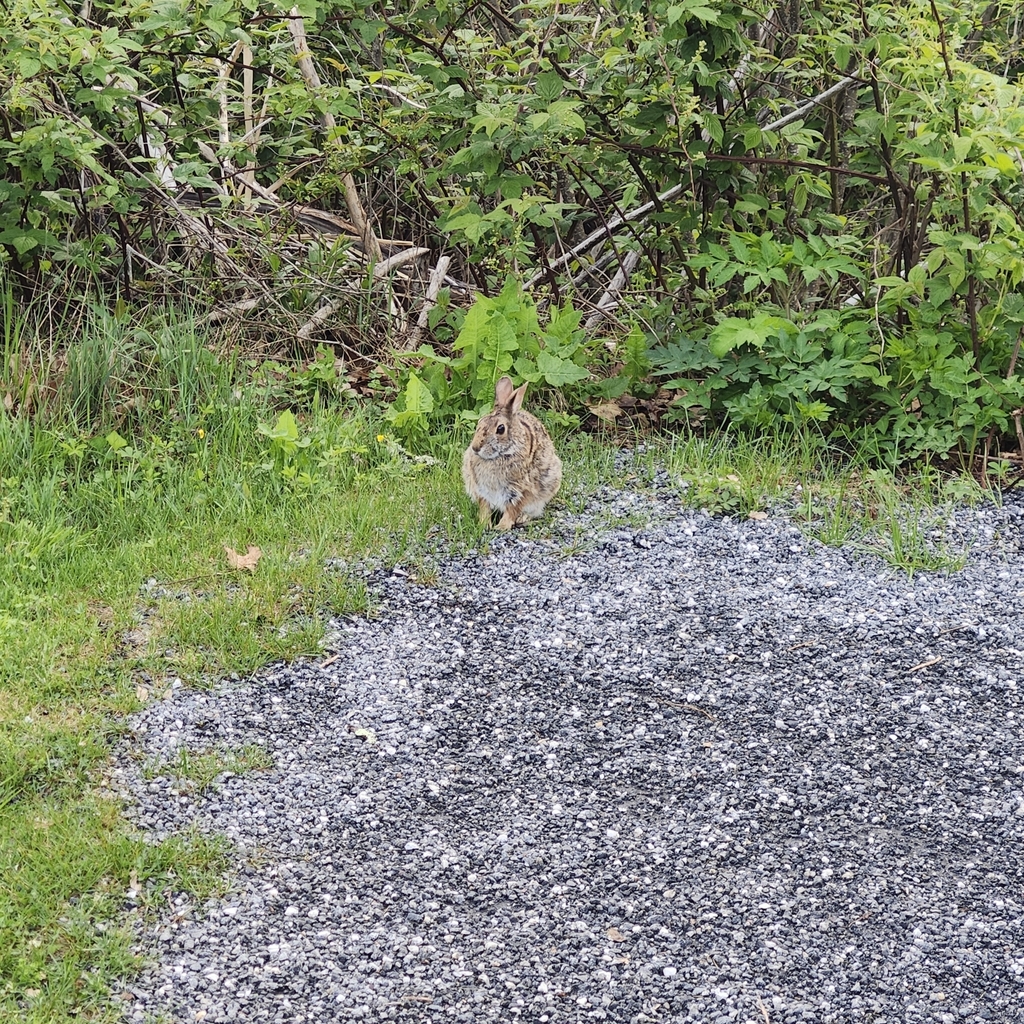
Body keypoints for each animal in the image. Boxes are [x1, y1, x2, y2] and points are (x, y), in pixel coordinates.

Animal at [462, 378, 565, 536]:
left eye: (500, 429)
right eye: (480, 422)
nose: (475, 448)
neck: (501, 454)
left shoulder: (519, 491)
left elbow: (512, 509)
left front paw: (501, 527)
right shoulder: (481, 491)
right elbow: (485, 509)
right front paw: (484, 525)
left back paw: (523, 518)